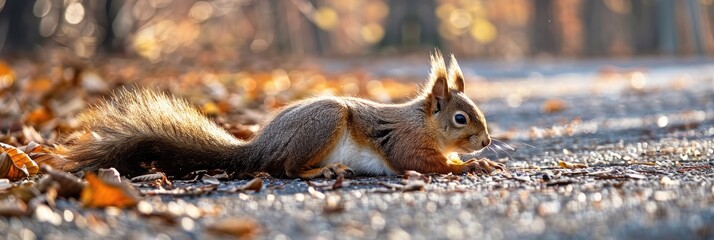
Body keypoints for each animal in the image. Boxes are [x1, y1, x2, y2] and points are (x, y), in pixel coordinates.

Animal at [55, 53, 504, 180]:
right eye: (461, 119)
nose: (485, 141)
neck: (423, 121)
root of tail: (257, 147)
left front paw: (484, 160)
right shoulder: (405, 142)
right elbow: (425, 163)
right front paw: (472, 164)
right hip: (325, 123)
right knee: (285, 168)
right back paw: (322, 171)